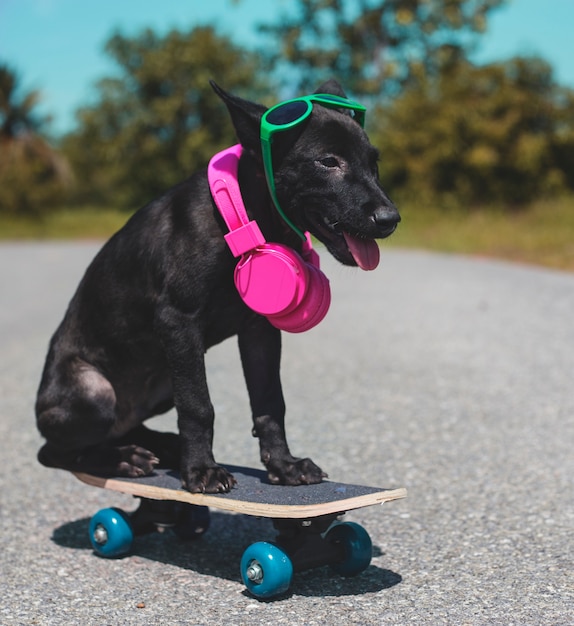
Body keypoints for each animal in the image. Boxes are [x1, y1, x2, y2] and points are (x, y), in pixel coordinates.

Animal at [35, 80, 400, 492]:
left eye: (374, 163)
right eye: (328, 161)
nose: (390, 219)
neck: (243, 218)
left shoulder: (259, 330)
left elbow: (270, 401)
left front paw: (284, 465)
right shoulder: (178, 321)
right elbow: (198, 405)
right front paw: (202, 470)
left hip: (164, 383)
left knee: (124, 427)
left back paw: (161, 445)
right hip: (96, 392)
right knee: (57, 451)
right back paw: (125, 458)